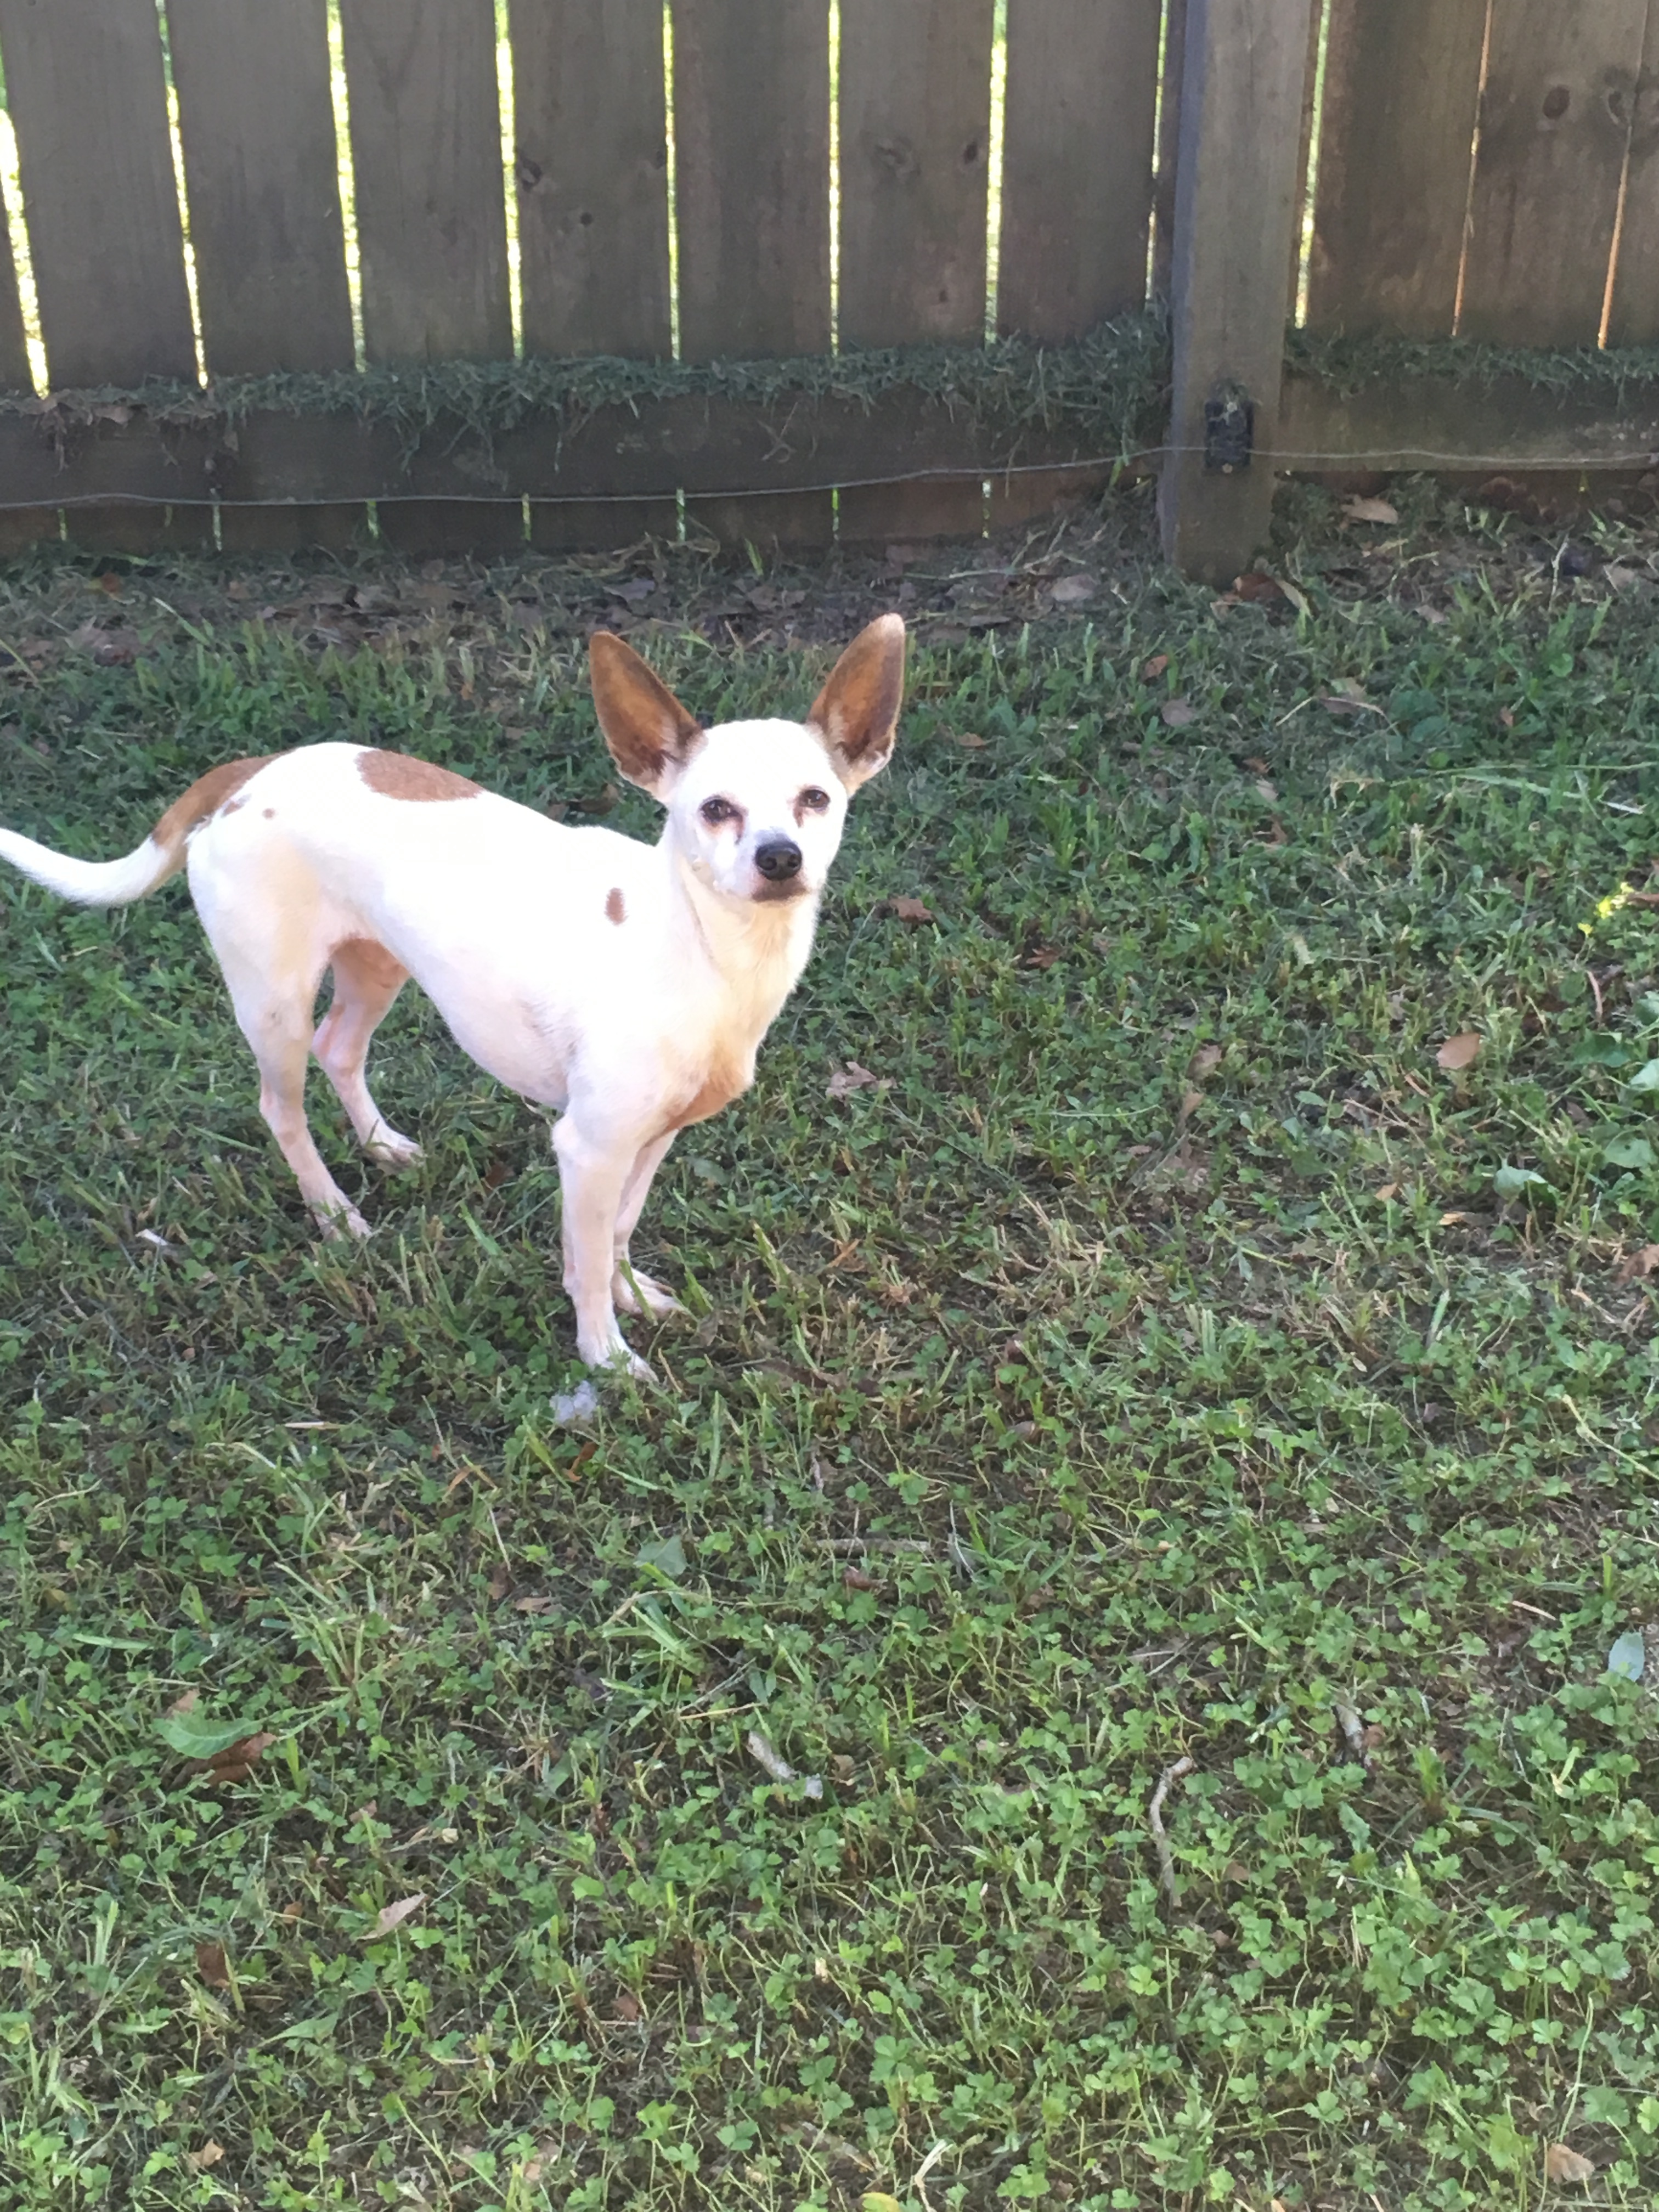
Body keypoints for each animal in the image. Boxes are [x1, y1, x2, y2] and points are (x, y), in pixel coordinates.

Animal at [0, 624, 911, 1371]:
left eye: (816, 800)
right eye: (715, 810)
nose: (781, 858)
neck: (704, 948)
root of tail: (250, 772)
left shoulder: (651, 1140)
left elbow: (617, 1232)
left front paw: (632, 1297)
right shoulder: (587, 1147)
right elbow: (586, 1259)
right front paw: (606, 1356)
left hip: (378, 965)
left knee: (342, 1049)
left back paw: (382, 1147)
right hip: (273, 1002)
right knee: (280, 1107)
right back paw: (335, 1215)